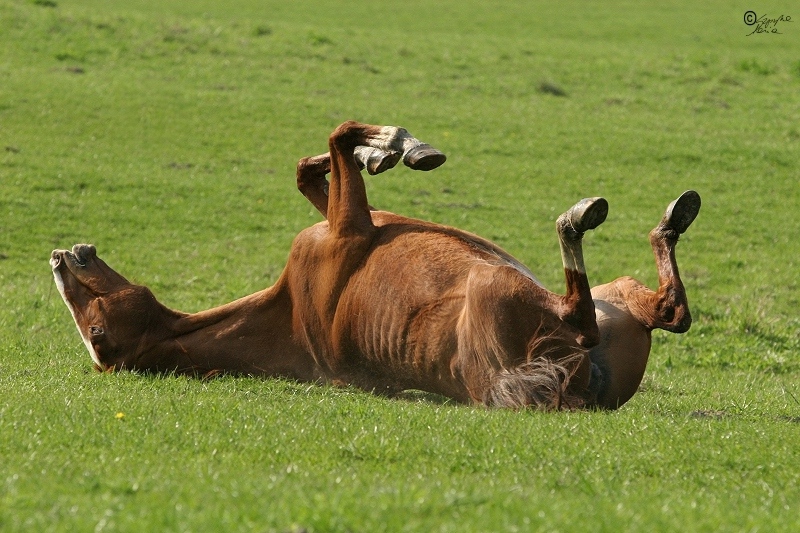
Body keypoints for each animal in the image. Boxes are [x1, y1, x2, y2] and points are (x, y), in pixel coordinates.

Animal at [50, 120, 700, 410]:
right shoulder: (350, 226)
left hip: (618, 300)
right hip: (510, 292)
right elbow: (338, 139)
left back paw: (672, 216)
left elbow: (311, 169)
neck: (289, 311)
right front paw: (396, 145)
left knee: (667, 311)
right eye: (97, 333)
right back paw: (583, 218)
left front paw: (379, 152)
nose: (60, 257)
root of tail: (570, 386)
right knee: (604, 313)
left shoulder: (354, 220)